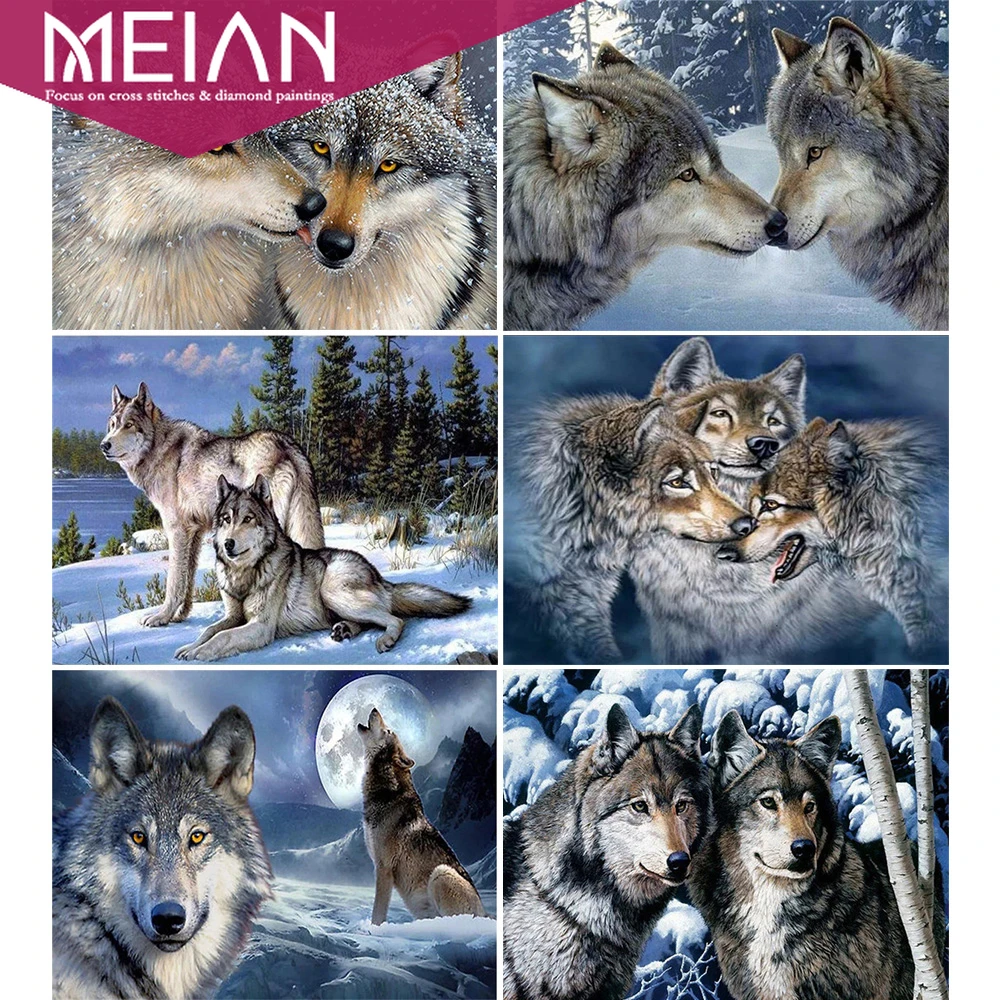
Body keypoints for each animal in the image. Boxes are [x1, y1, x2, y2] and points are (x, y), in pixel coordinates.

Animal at [101, 382, 324, 628]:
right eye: (113, 425)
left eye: (129, 425)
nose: (104, 445)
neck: (158, 449)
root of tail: (288, 444)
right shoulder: (195, 532)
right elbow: (187, 579)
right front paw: (180, 616)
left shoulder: (176, 531)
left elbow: (174, 582)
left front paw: (162, 617)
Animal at [175, 475, 471, 660]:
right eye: (226, 519)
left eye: (248, 519)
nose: (228, 544)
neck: (245, 574)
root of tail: (378, 575)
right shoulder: (233, 616)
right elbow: (209, 631)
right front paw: (188, 647)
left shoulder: (261, 626)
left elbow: (222, 638)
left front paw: (199, 653)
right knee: (371, 620)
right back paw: (345, 630)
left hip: (332, 591)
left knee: (396, 619)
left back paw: (384, 639)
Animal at [358, 708, 486, 925]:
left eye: (388, 730)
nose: (375, 708)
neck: (386, 793)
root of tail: (486, 914)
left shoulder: (384, 868)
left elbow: (378, 912)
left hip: (441, 873)